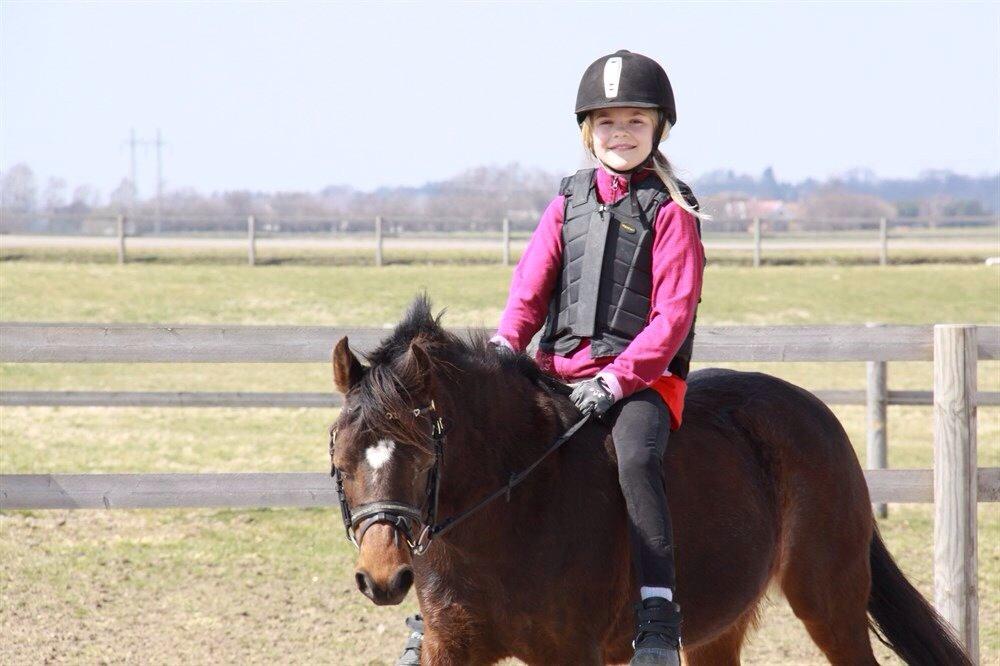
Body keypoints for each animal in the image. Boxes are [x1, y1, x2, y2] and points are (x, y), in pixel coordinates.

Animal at [327, 295, 971, 665]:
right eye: (342, 457)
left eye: (421, 455)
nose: (382, 577)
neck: (506, 515)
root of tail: (816, 414)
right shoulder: (451, 646)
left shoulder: (572, 654)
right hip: (718, 625)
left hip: (829, 601)